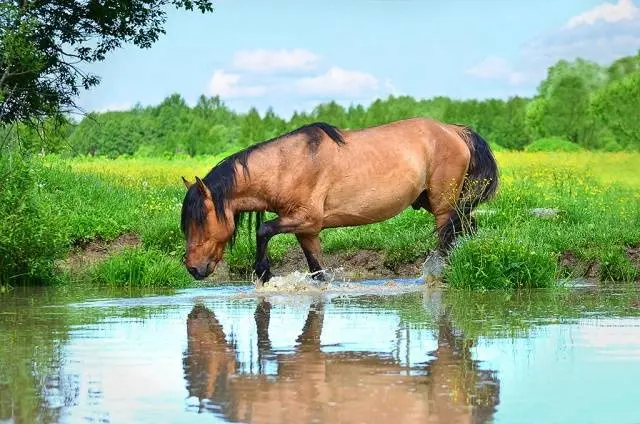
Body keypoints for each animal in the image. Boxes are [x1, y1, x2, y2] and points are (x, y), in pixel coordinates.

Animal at [180, 117, 500, 286]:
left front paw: (264, 272)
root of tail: (454, 130)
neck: (287, 165)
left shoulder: (306, 218)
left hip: (443, 207)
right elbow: (317, 271)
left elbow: (264, 230)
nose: (193, 269)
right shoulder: (307, 231)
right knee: (467, 226)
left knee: (447, 239)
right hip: (440, 203)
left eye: (200, 221)